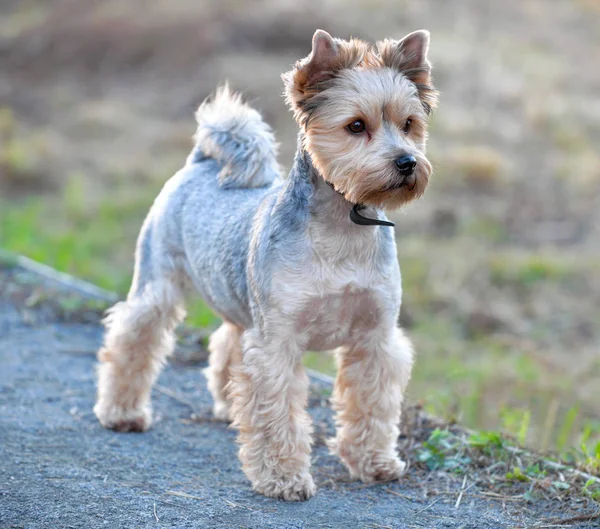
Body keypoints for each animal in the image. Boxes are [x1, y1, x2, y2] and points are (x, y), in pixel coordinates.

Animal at [94, 27, 436, 500]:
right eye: (355, 126)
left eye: (409, 124)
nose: (407, 162)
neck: (344, 228)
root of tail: (202, 162)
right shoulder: (278, 342)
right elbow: (277, 415)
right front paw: (283, 477)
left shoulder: (375, 339)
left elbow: (371, 404)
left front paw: (374, 461)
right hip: (156, 285)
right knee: (131, 339)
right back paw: (122, 411)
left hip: (240, 305)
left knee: (226, 345)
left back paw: (226, 406)